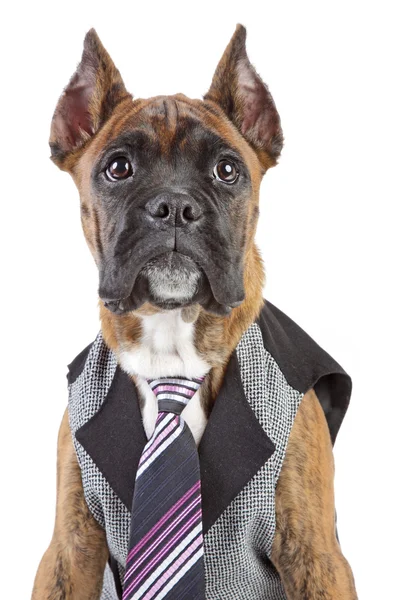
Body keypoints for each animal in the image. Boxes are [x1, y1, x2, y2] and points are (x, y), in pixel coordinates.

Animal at [32, 24, 356, 600]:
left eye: (227, 170)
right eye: (118, 168)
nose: (175, 206)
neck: (172, 351)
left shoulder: (314, 554)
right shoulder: (69, 552)